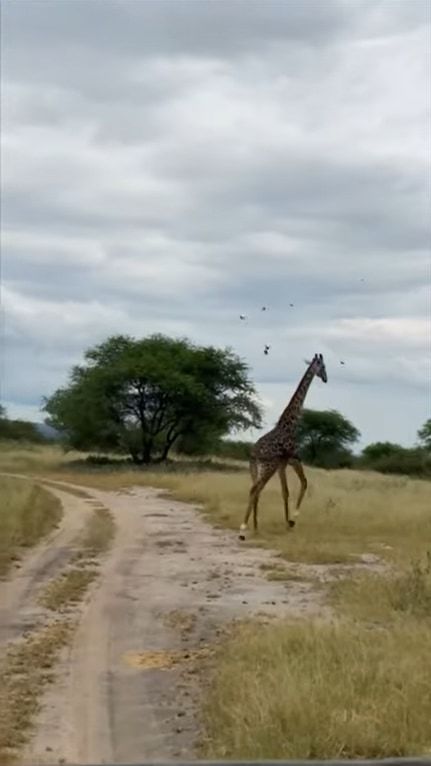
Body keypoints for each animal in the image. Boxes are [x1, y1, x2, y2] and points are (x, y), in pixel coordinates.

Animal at [240, 352, 328, 540]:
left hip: (256, 468)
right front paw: (292, 520)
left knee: (256, 490)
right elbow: (302, 484)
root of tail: (254, 454)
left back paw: (255, 526)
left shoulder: (284, 463)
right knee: (255, 489)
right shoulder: (292, 459)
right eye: (323, 367)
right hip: (268, 467)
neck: (290, 424)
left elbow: (285, 491)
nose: (326, 378)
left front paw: (288, 521)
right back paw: (243, 529)